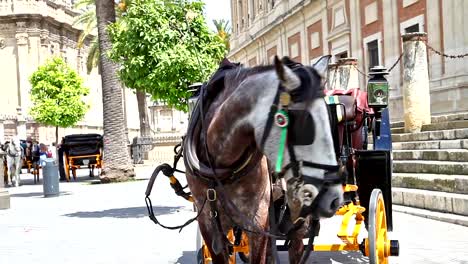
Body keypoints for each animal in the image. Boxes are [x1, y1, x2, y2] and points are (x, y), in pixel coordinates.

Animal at [184, 55, 344, 262]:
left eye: (329, 118)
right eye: (305, 124)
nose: (334, 198)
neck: (221, 167)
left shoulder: (257, 219)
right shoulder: (207, 222)